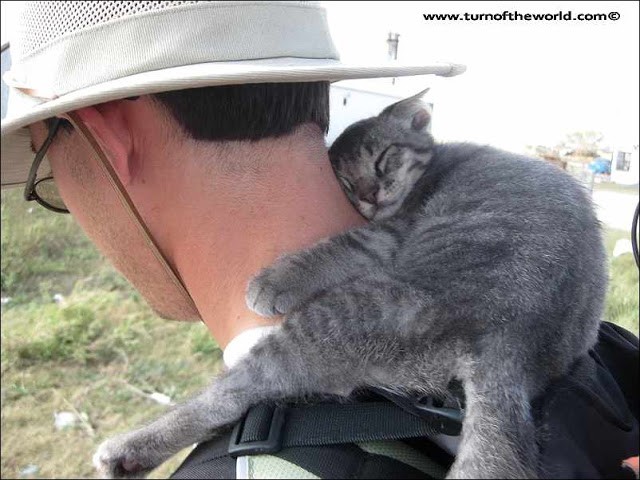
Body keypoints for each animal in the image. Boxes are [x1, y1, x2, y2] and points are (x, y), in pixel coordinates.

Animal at [94, 91, 604, 480]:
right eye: (343, 178)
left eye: (382, 158)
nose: (369, 195)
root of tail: (508, 346)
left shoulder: (386, 232)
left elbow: (338, 246)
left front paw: (272, 281)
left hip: (335, 320)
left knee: (228, 397)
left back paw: (127, 451)